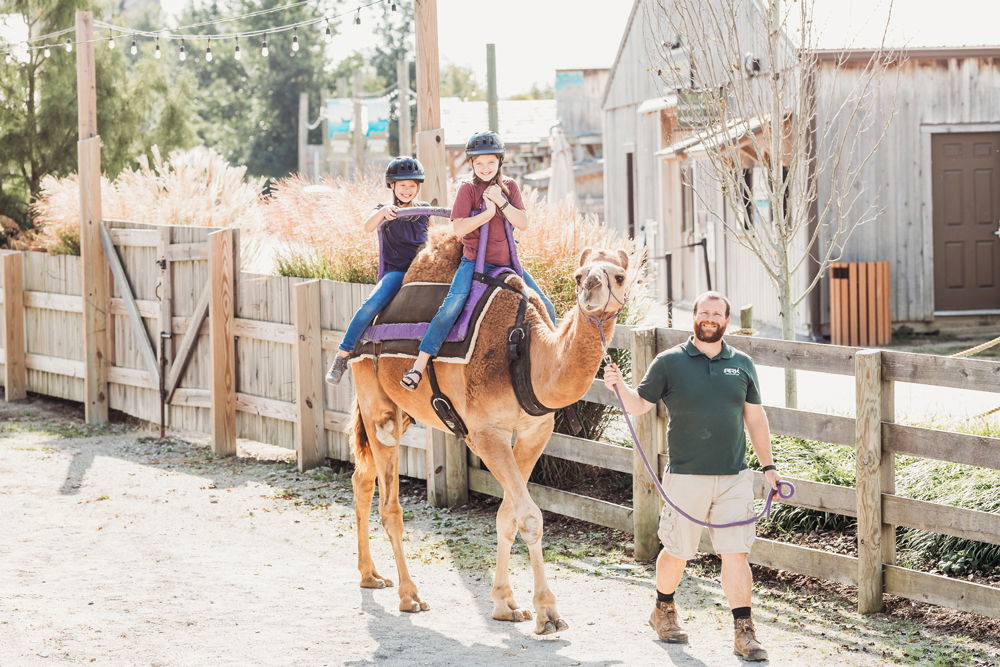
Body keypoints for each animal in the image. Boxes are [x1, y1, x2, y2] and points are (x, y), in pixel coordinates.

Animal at [348, 228, 628, 636]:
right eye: (578, 275)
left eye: (619, 276)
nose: (591, 286)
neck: (526, 353)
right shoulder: (485, 434)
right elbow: (530, 517)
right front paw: (547, 612)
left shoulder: (534, 431)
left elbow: (506, 516)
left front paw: (505, 604)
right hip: (375, 402)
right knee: (390, 504)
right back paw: (409, 595)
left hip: (401, 412)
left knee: (361, 476)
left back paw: (370, 575)